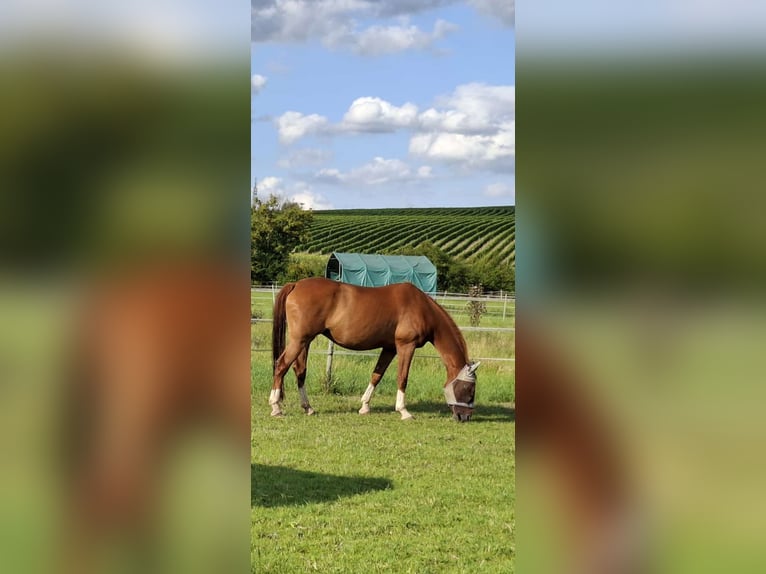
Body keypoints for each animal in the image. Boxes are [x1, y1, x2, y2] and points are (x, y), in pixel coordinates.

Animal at [269, 277, 480, 421]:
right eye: (469, 389)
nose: (465, 417)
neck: (422, 308)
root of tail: (296, 285)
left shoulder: (389, 348)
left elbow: (376, 375)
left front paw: (364, 406)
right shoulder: (406, 346)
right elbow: (402, 377)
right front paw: (403, 411)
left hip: (304, 342)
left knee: (299, 371)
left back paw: (308, 407)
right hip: (299, 341)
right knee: (281, 366)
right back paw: (276, 407)